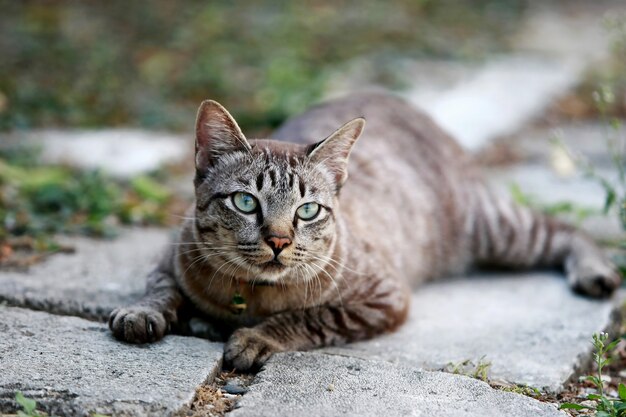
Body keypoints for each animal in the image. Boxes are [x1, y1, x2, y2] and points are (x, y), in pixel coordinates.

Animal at [108, 92, 620, 370]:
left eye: (308, 210)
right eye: (246, 202)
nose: (279, 241)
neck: (248, 297)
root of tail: (404, 102)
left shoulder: (384, 298)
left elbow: (306, 318)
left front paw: (255, 337)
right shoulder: (168, 255)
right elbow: (159, 288)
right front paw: (142, 312)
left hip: (497, 229)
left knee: (566, 228)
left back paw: (595, 271)